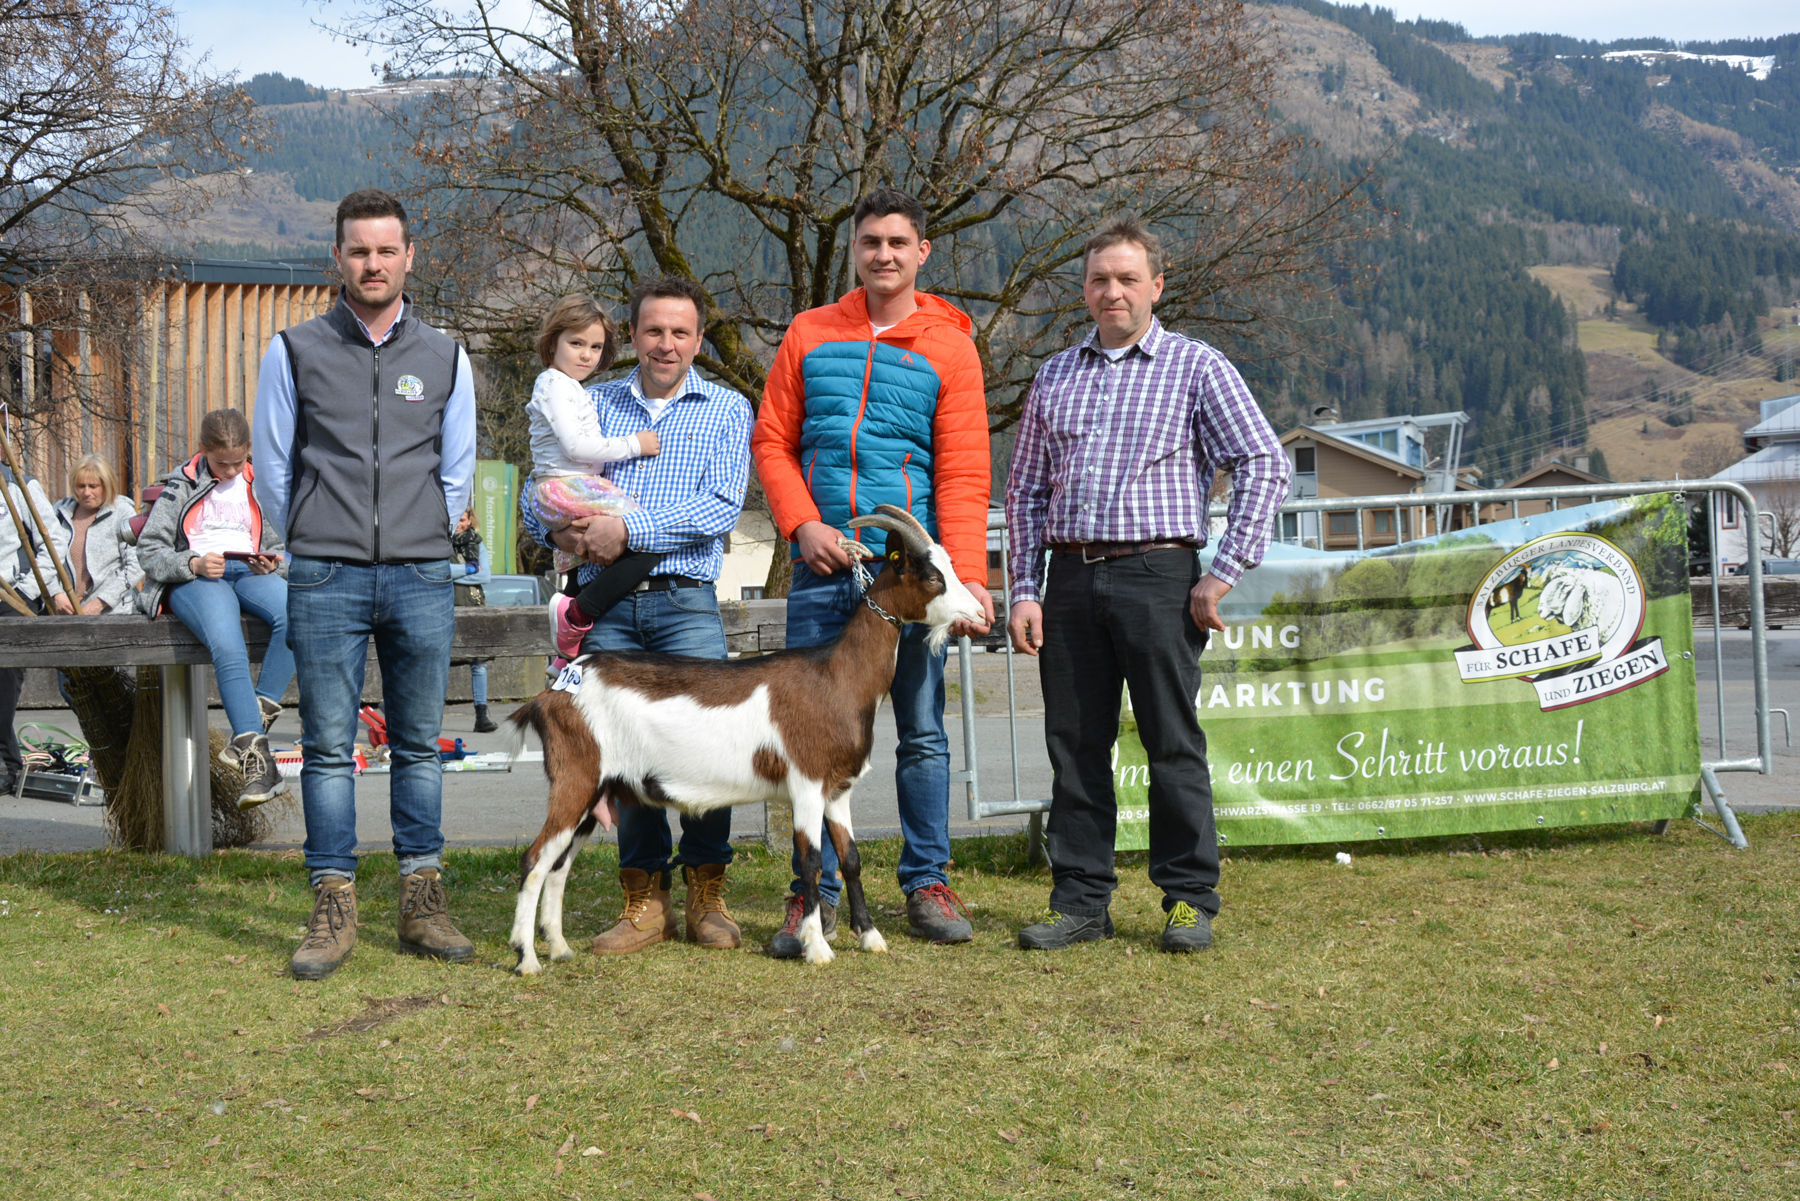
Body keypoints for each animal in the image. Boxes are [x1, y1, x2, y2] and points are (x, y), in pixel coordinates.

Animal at [504, 504, 986, 972]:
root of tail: (551, 693)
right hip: (576, 777)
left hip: (597, 791)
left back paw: (560, 948)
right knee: (535, 860)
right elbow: (811, 861)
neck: (835, 677)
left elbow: (850, 858)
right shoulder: (806, 783)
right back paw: (527, 959)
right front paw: (816, 947)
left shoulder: (838, 789)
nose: (980, 614)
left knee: (558, 866)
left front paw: (870, 938)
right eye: (932, 576)